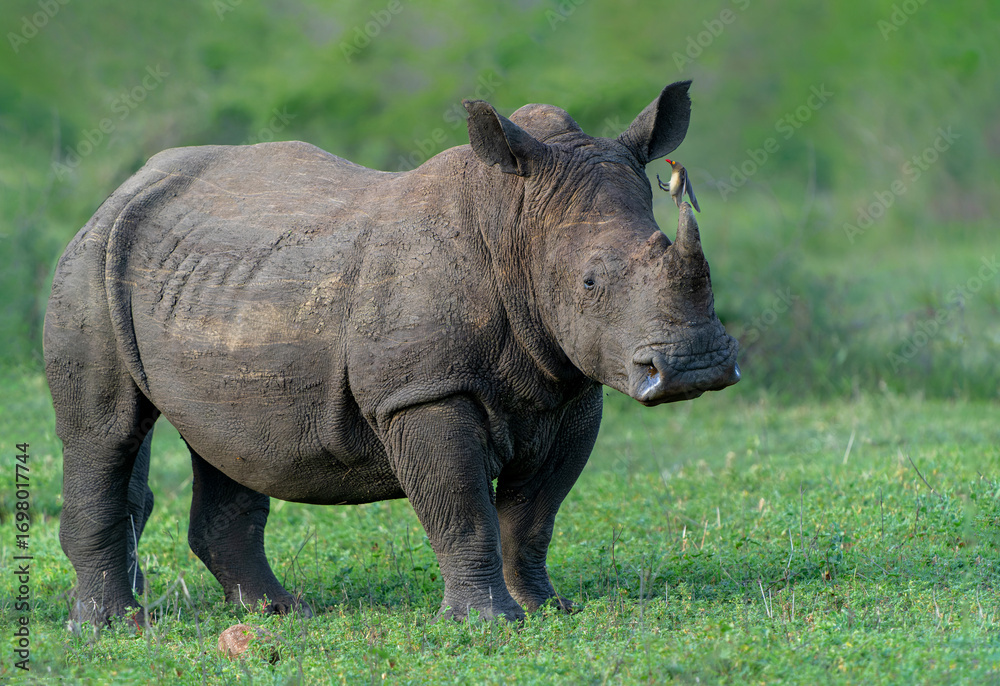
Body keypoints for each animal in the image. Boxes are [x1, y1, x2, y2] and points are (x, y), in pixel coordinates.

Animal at [44, 80, 739, 623]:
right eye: (590, 283)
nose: (696, 367)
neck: (513, 225)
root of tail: (128, 185)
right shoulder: (422, 392)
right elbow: (464, 510)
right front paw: (485, 623)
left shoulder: (569, 388)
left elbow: (534, 517)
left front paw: (548, 608)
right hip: (91, 264)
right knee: (106, 434)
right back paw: (112, 627)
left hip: (212, 284)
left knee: (225, 439)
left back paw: (278, 612)